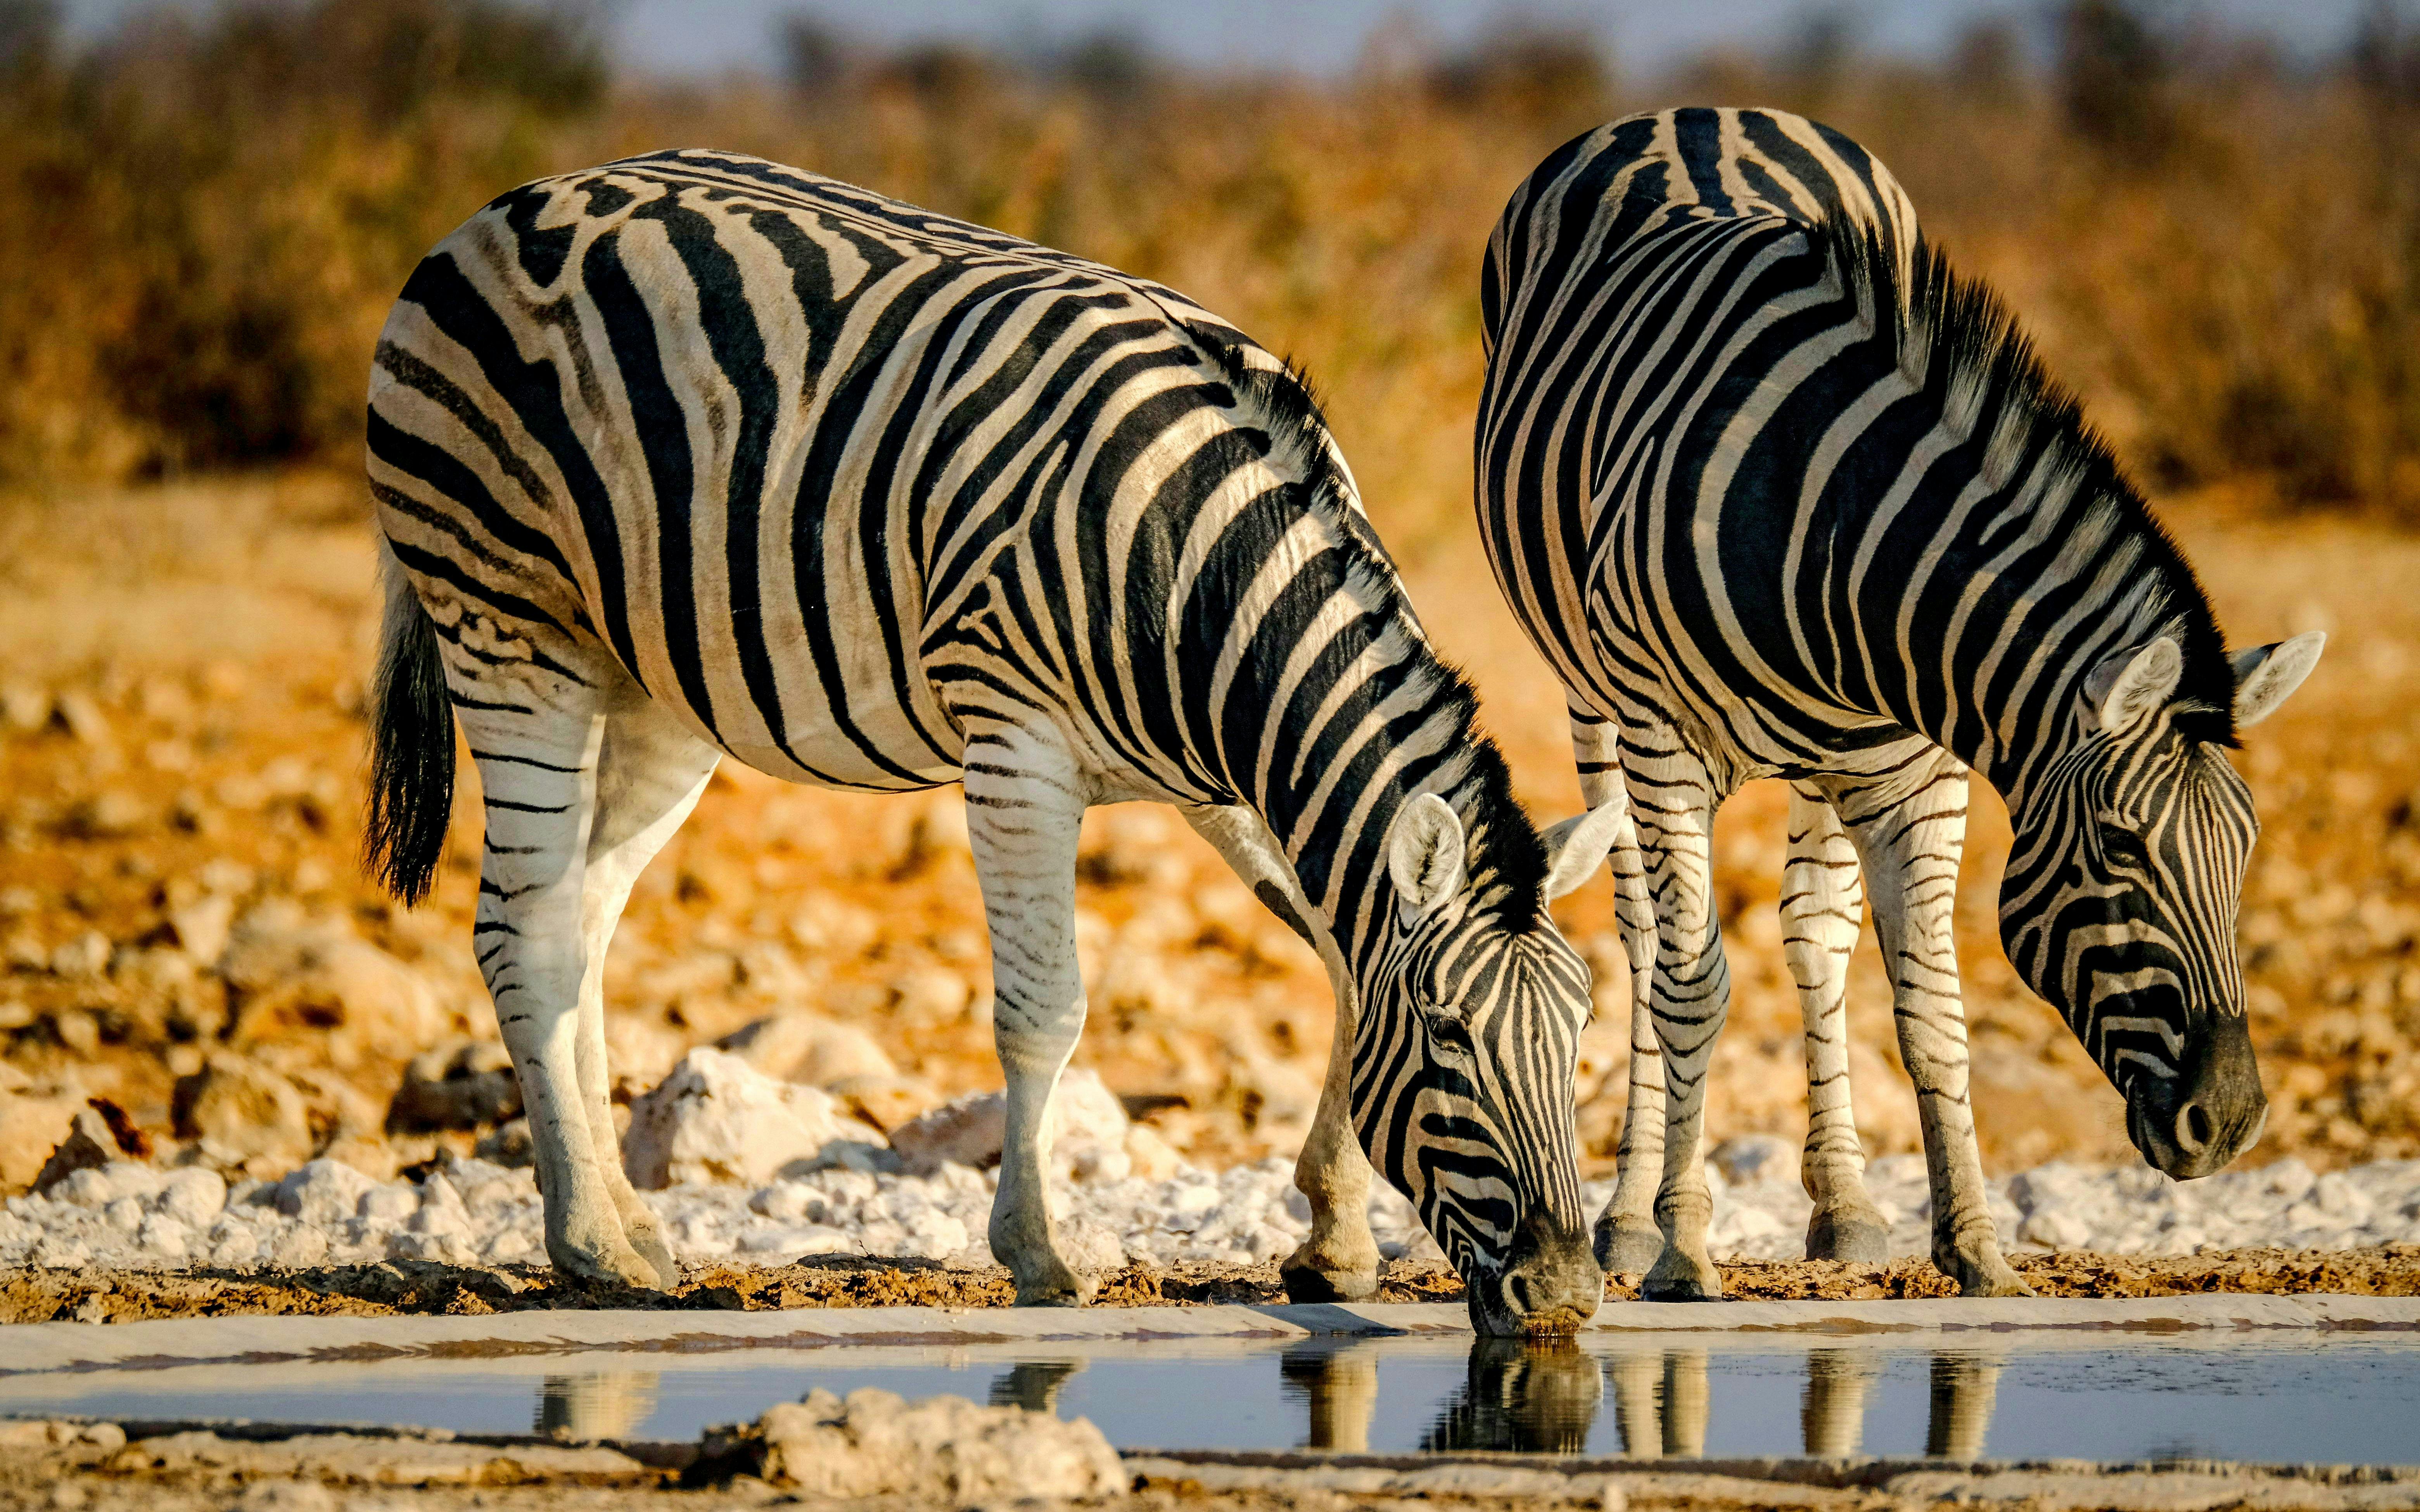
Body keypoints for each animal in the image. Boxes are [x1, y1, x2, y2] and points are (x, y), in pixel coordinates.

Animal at [362, 148, 1627, 1332]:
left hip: (651, 682)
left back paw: (628, 1228)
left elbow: (1338, 956)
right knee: (522, 928)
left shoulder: (1228, 781)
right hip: (508, 622)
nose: (1566, 1294)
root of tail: (499, 209)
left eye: (1578, 1036)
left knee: (582, 921)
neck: (1201, 570)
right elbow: (1045, 1011)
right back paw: (588, 1247)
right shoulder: (1017, 746)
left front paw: (1336, 1237)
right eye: (1450, 1041)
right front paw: (1039, 1253)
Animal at [1475, 108, 2323, 1299]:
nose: (2233, 1121)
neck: (1828, 522)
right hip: (1593, 698)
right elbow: (1691, 984)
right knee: (1645, 941)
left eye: (2243, 849)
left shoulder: (1923, 768)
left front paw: (1976, 1246)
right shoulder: (1663, 739)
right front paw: (1684, 1249)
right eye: (2119, 849)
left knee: (1815, 935)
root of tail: (1701, 110)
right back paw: (1633, 1218)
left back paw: (1845, 1204)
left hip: (1832, 763)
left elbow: (1930, 1006)